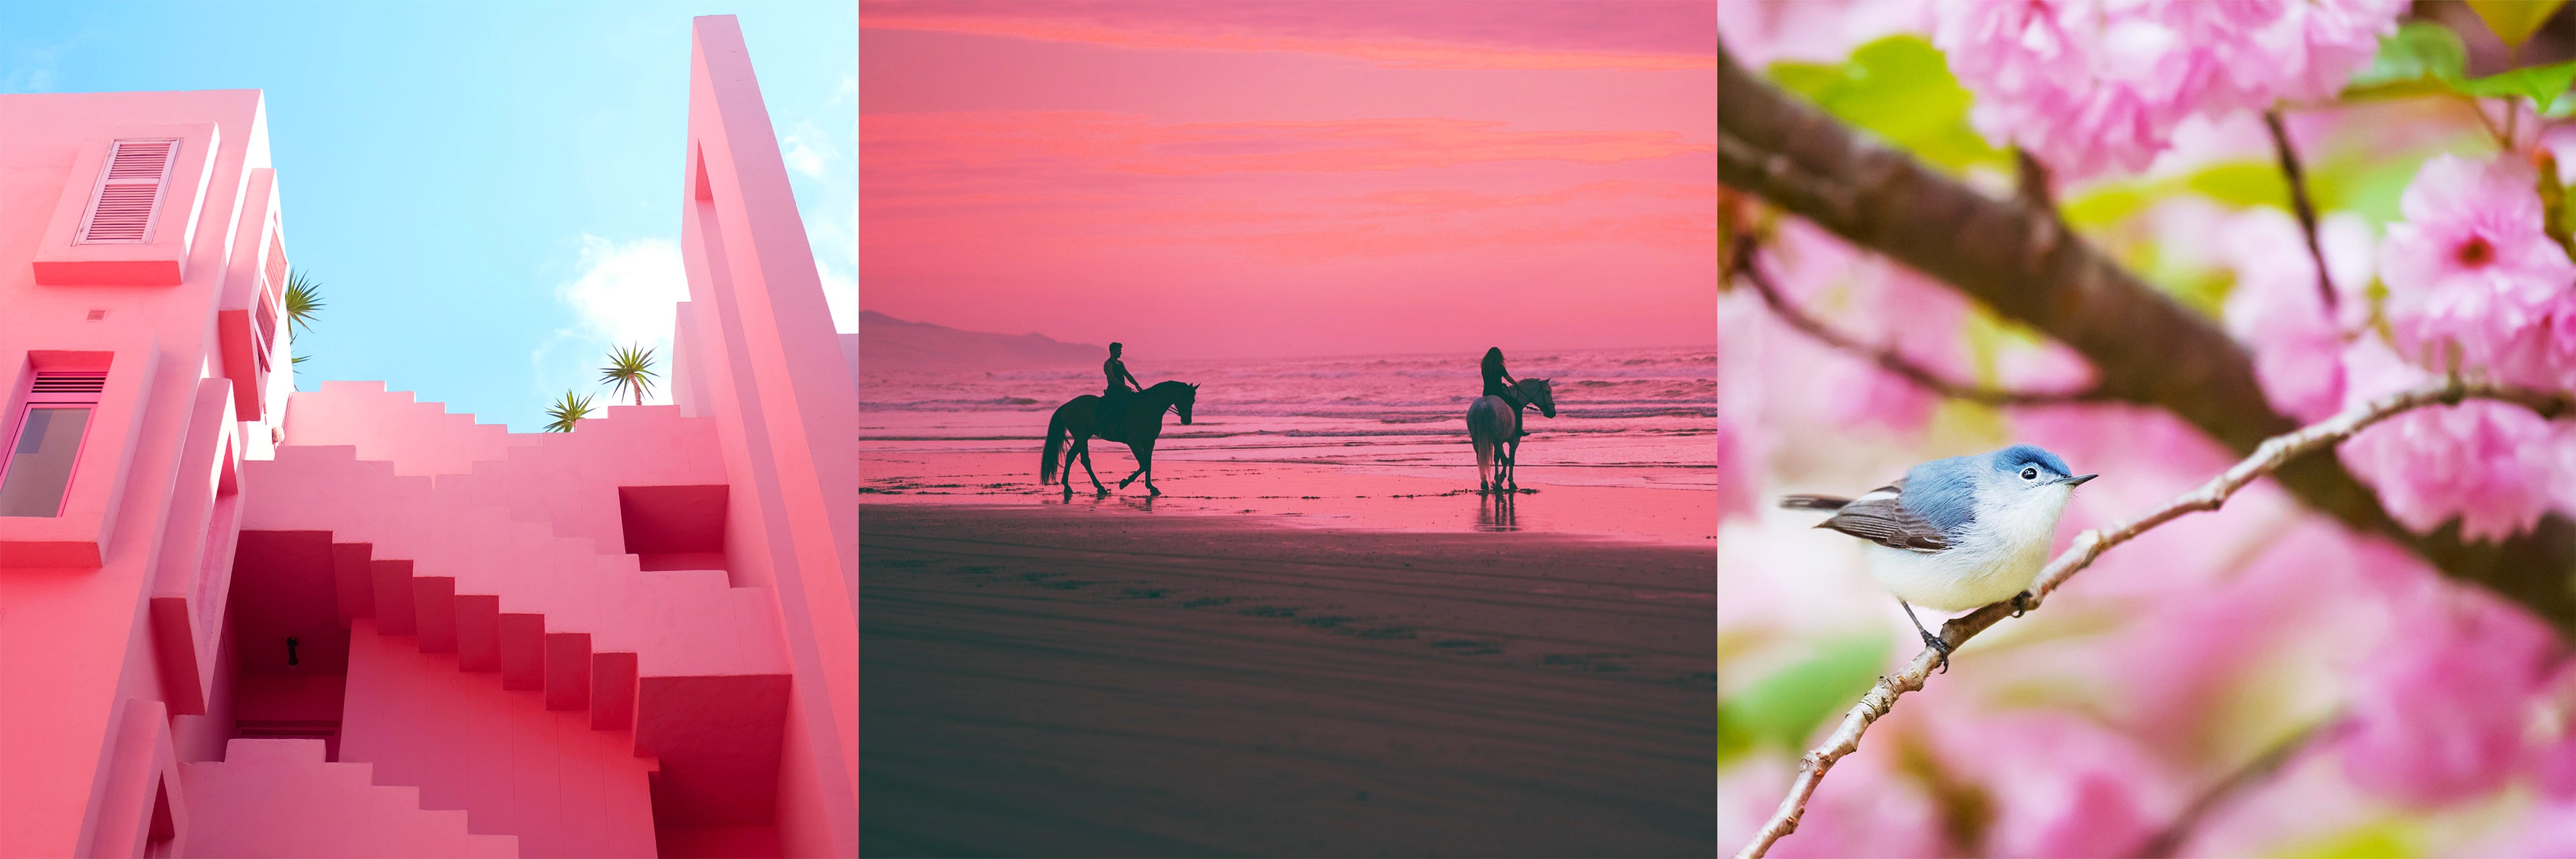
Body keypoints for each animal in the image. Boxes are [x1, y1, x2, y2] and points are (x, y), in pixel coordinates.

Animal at [1040, 379, 1200, 495]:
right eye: (1186, 399)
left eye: (1193, 401)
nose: (1187, 420)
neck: (1148, 409)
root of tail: (1067, 405)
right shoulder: (1134, 442)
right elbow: (1143, 465)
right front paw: (1124, 483)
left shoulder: (1150, 442)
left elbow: (1148, 464)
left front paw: (1151, 487)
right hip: (1081, 436)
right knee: (1085, 460)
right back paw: (1100, 487)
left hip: (1083, 436)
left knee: (1071, 456)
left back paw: (1067, 486)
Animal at [1473, 376, 1546, 493]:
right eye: (1548, 392)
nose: (1553, 413)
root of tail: (1485, 404)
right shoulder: (1514, 441)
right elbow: (1511, 460)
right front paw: (1510, 482)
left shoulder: (1499, 442)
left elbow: (1505, 459)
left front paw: (1501, 477)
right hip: (1497, 439)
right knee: (1496, 458)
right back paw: (1498, 484)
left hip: (1476, 438)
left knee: (1479, 457)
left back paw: (1485, 483)